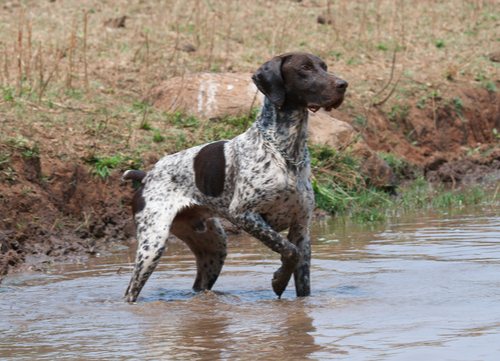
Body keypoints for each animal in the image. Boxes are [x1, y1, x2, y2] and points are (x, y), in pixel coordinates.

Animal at [122, 51, 346, 300]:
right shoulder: (244, 215)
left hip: (214, 249)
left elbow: (300, 274)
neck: (287, 153)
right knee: (130, 291)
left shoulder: (301, 229)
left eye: (324, 67)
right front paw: (279, 280)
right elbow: (290, 251)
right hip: (152, 245)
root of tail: (146, 176)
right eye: (305, 68)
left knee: (200, 283)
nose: (343, 85)